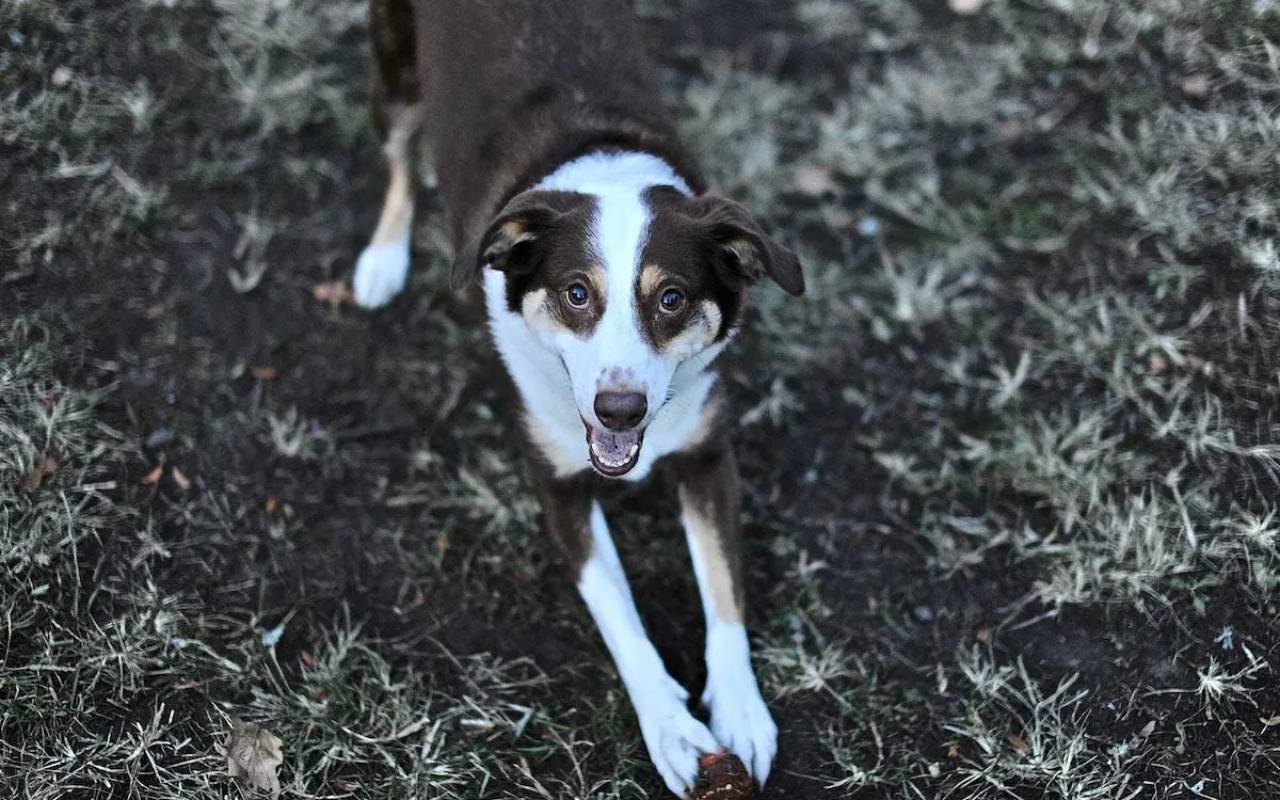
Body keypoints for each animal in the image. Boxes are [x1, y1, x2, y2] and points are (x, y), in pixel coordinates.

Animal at [350, 0, 803, 788]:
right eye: (576, 293)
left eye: (673, 299)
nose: (618, 409)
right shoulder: (557, 479)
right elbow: (620, 615)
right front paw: (672, 730)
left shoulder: (707, 454)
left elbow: (724, 591)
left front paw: (741, 710)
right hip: (394, 72)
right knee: (400, 160)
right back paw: (383, 258)